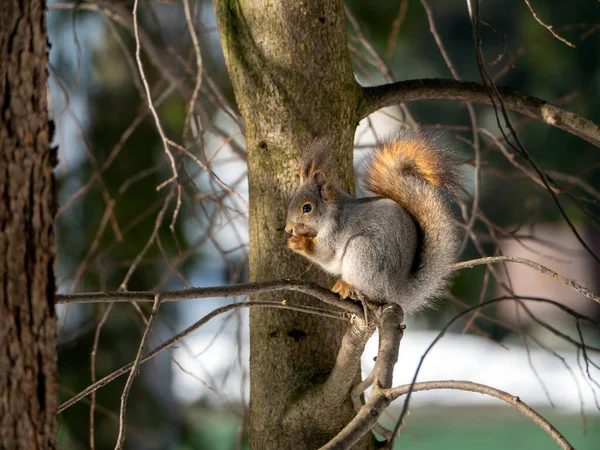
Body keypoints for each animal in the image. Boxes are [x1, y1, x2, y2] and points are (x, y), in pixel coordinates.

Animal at [284, 129, 462, 312]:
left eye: (307, 208)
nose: (288, 229)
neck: (331, 212)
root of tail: (397, 292)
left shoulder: (335, 229)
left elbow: (325, 253)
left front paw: (298, 243)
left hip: (363, 252)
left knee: (373, 295)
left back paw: (347, 287)